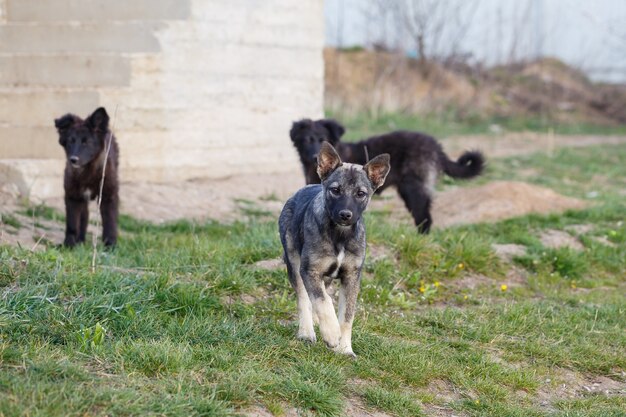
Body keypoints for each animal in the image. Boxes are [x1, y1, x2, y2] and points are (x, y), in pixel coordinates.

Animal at [56, 105, 120, 247]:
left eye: (86, 142)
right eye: (70, 142)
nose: (73, 160)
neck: (87, 172)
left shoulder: (108, 196)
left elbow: (110, 222)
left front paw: (110, 245)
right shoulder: (73, 196)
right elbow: (72, 223)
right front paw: (69, 244)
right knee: (84, 216)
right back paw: (80, 240)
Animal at [280, 142, 390, 354]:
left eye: (361, 194)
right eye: (335, 190)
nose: (345, 215)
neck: (340, 235)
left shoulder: (352, 276)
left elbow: (347, 317)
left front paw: (345, 348)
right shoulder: (310, 269)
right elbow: (322, 301)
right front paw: (331, 334)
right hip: (293, 261)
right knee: (304, 297)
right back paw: (307, 332)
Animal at [290, 118, 486, 232]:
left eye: (322, 139)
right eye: (307, 140)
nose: (315, 157)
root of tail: (436, 147)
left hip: (413, 188)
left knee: (424, 217)